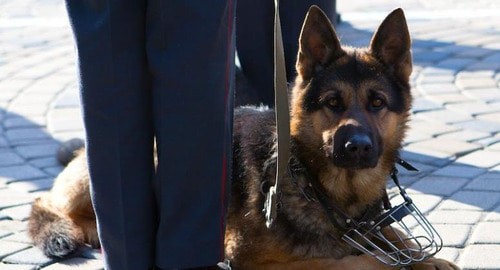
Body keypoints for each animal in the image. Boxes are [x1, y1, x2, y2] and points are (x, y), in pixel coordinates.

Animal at [27, 6, 458, 270]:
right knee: (47, 202)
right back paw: (69, 232)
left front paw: (426, 258)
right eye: (333, 103)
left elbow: (397, 237)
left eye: (377, 102)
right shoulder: (260, 260)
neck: (315, 184)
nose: (358, 147)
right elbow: (357, 260)